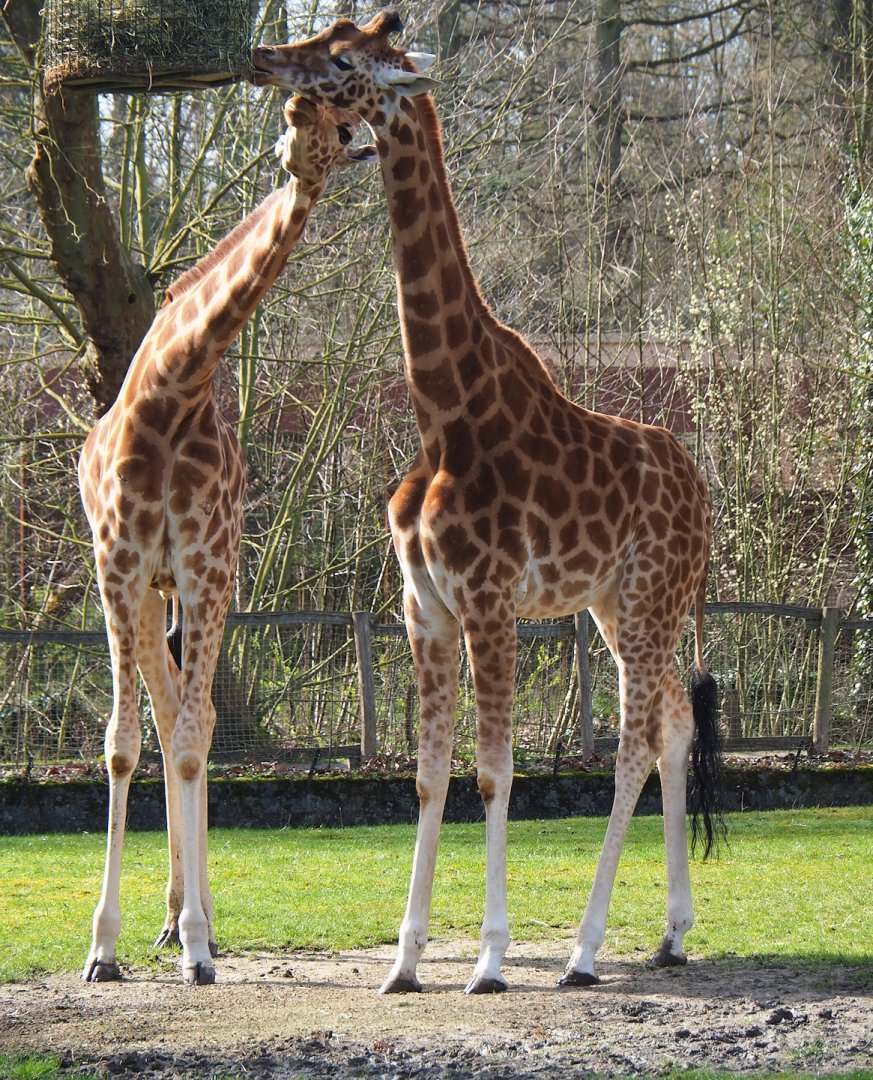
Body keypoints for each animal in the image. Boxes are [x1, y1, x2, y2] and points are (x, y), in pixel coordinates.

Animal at [78, 96, 376, 985]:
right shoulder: (119, 566)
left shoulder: (208, 571)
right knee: (165, 710)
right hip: (147, 594)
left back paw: (189, 921)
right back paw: (168, 916)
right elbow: (121, 744)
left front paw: (200, 944)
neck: (176, 386)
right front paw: (101, 947)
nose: (307, 163)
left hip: (201, 587)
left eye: (340, 129)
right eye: (295, 123)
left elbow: (188, 740)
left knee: (196, 719)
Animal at [253, 12, 722, 995]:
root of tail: (701, 491)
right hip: (622, 608)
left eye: (343, 59)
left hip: (649, 599)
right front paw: (403, 961)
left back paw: (583, 952)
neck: (444, 415)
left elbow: (493, 774)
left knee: (631, 745)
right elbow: (430, 777)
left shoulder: (489, 602)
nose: (267, 58)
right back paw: (668, 936)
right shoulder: (422, 607)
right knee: (669, 726)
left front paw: (490, 958)